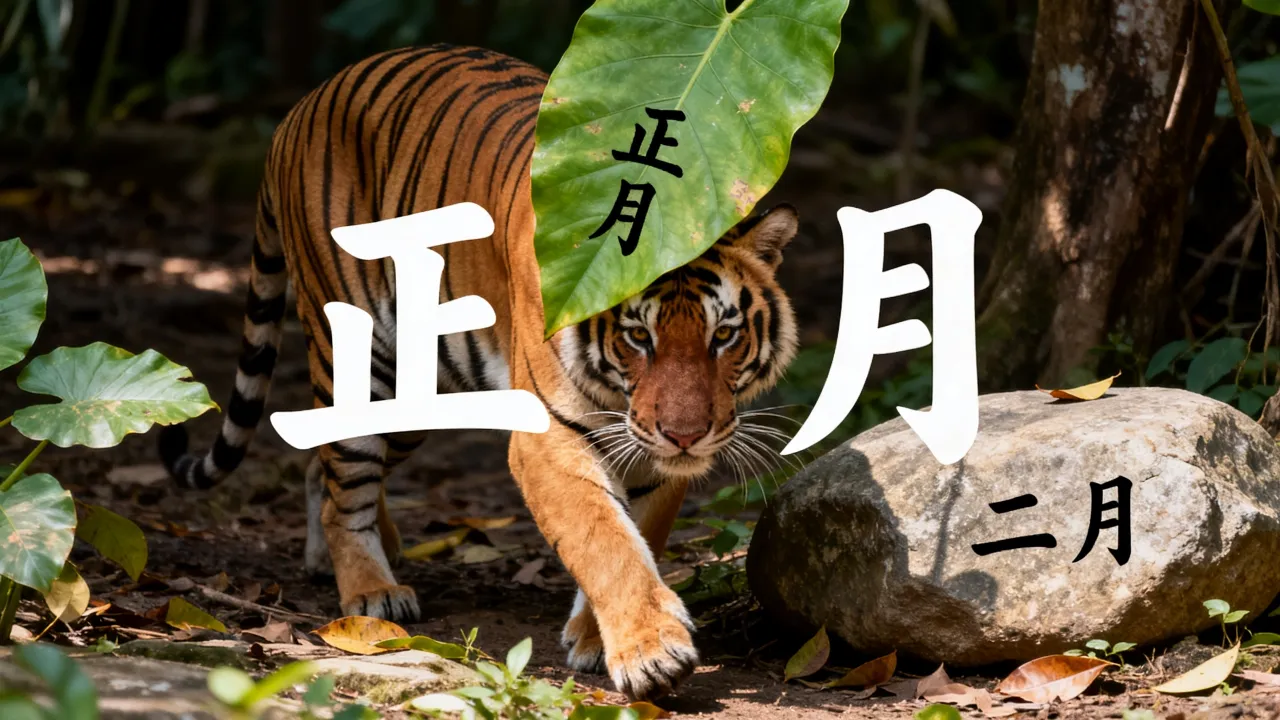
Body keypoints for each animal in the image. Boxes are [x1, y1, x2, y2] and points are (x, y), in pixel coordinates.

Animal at [159, 44, 799, 700]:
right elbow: (604, 539)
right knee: (345, 485)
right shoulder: (550, 434)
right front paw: (652, 651)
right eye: (639, 337)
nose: (686, 436)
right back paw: (372, 593)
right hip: (363, 354)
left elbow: (637, 533)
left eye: (723, 335)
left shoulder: (649, 450)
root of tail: (300, 107)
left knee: (326, 463)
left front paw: (596, 640)